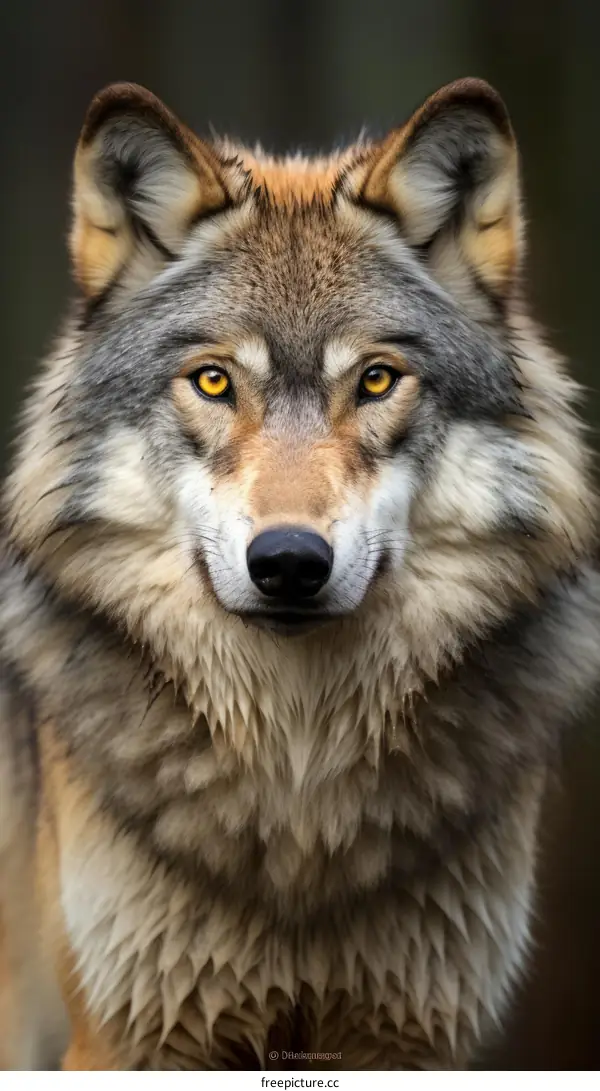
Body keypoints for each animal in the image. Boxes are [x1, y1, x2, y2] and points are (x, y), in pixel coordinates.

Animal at [0, 77, 598, 1070]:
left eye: (377, 380)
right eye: (212, 381)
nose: (288, 561)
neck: (299, 796)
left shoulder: (410, 1037)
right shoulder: (127, 1038)